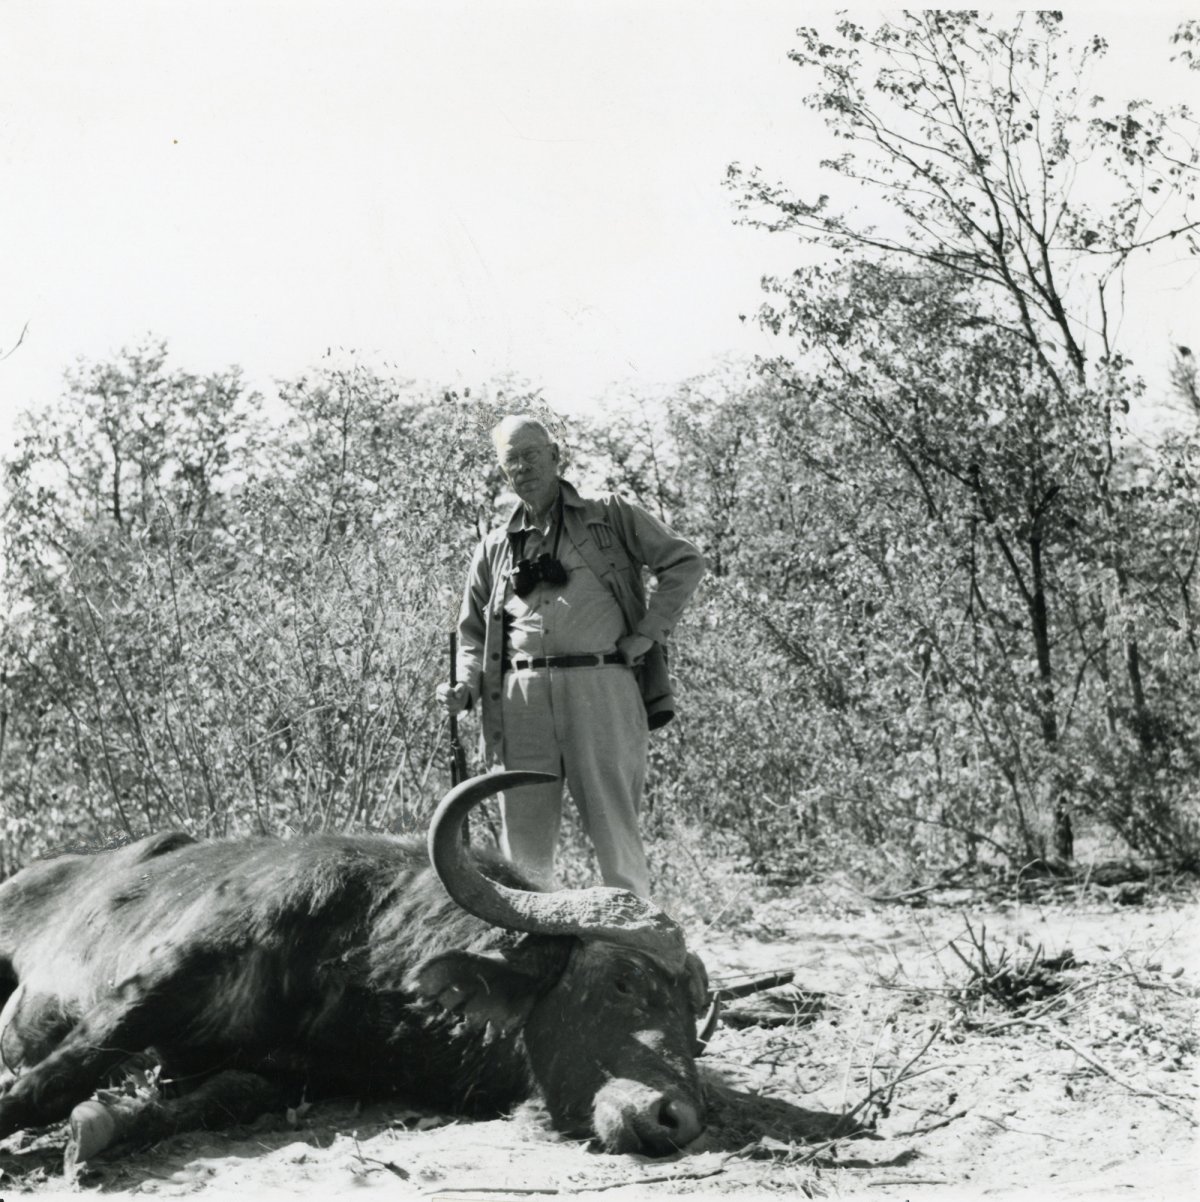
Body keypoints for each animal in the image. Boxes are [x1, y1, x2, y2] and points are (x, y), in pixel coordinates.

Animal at [0, 771, 710, 1168]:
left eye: (690, 1013)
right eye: (622, 982)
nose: (677, 1117)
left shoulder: (292, 1076)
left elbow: (222, 1097)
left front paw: (106, 1123)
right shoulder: (160, 982)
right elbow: (51, 1081)